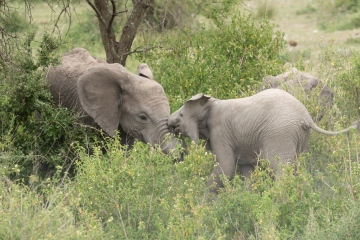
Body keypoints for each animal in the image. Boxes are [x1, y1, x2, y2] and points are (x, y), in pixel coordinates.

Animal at [168, 89, 358, 192]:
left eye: (181, 115)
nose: (169, 123)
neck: (211, 103)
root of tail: (306, 118)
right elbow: (247, 171)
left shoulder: (220, 133)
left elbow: (226, 168)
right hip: (300, 138)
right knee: (298, 169)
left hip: (280, 134)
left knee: (280, 170)